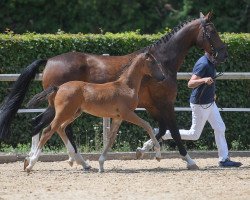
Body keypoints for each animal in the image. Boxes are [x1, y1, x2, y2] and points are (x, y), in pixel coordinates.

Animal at [0, 12, 227, 169]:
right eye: (212, 31)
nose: (222, 54)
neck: (162, 62)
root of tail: (49, 60)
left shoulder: (153, 106)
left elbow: (161, 130)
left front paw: (142, 150)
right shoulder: (164, 104)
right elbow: (174, 132)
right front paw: (189, 160)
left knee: (55, 126)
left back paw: (78, 162)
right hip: (59, 106)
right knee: (41, 124)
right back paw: (39, 160)